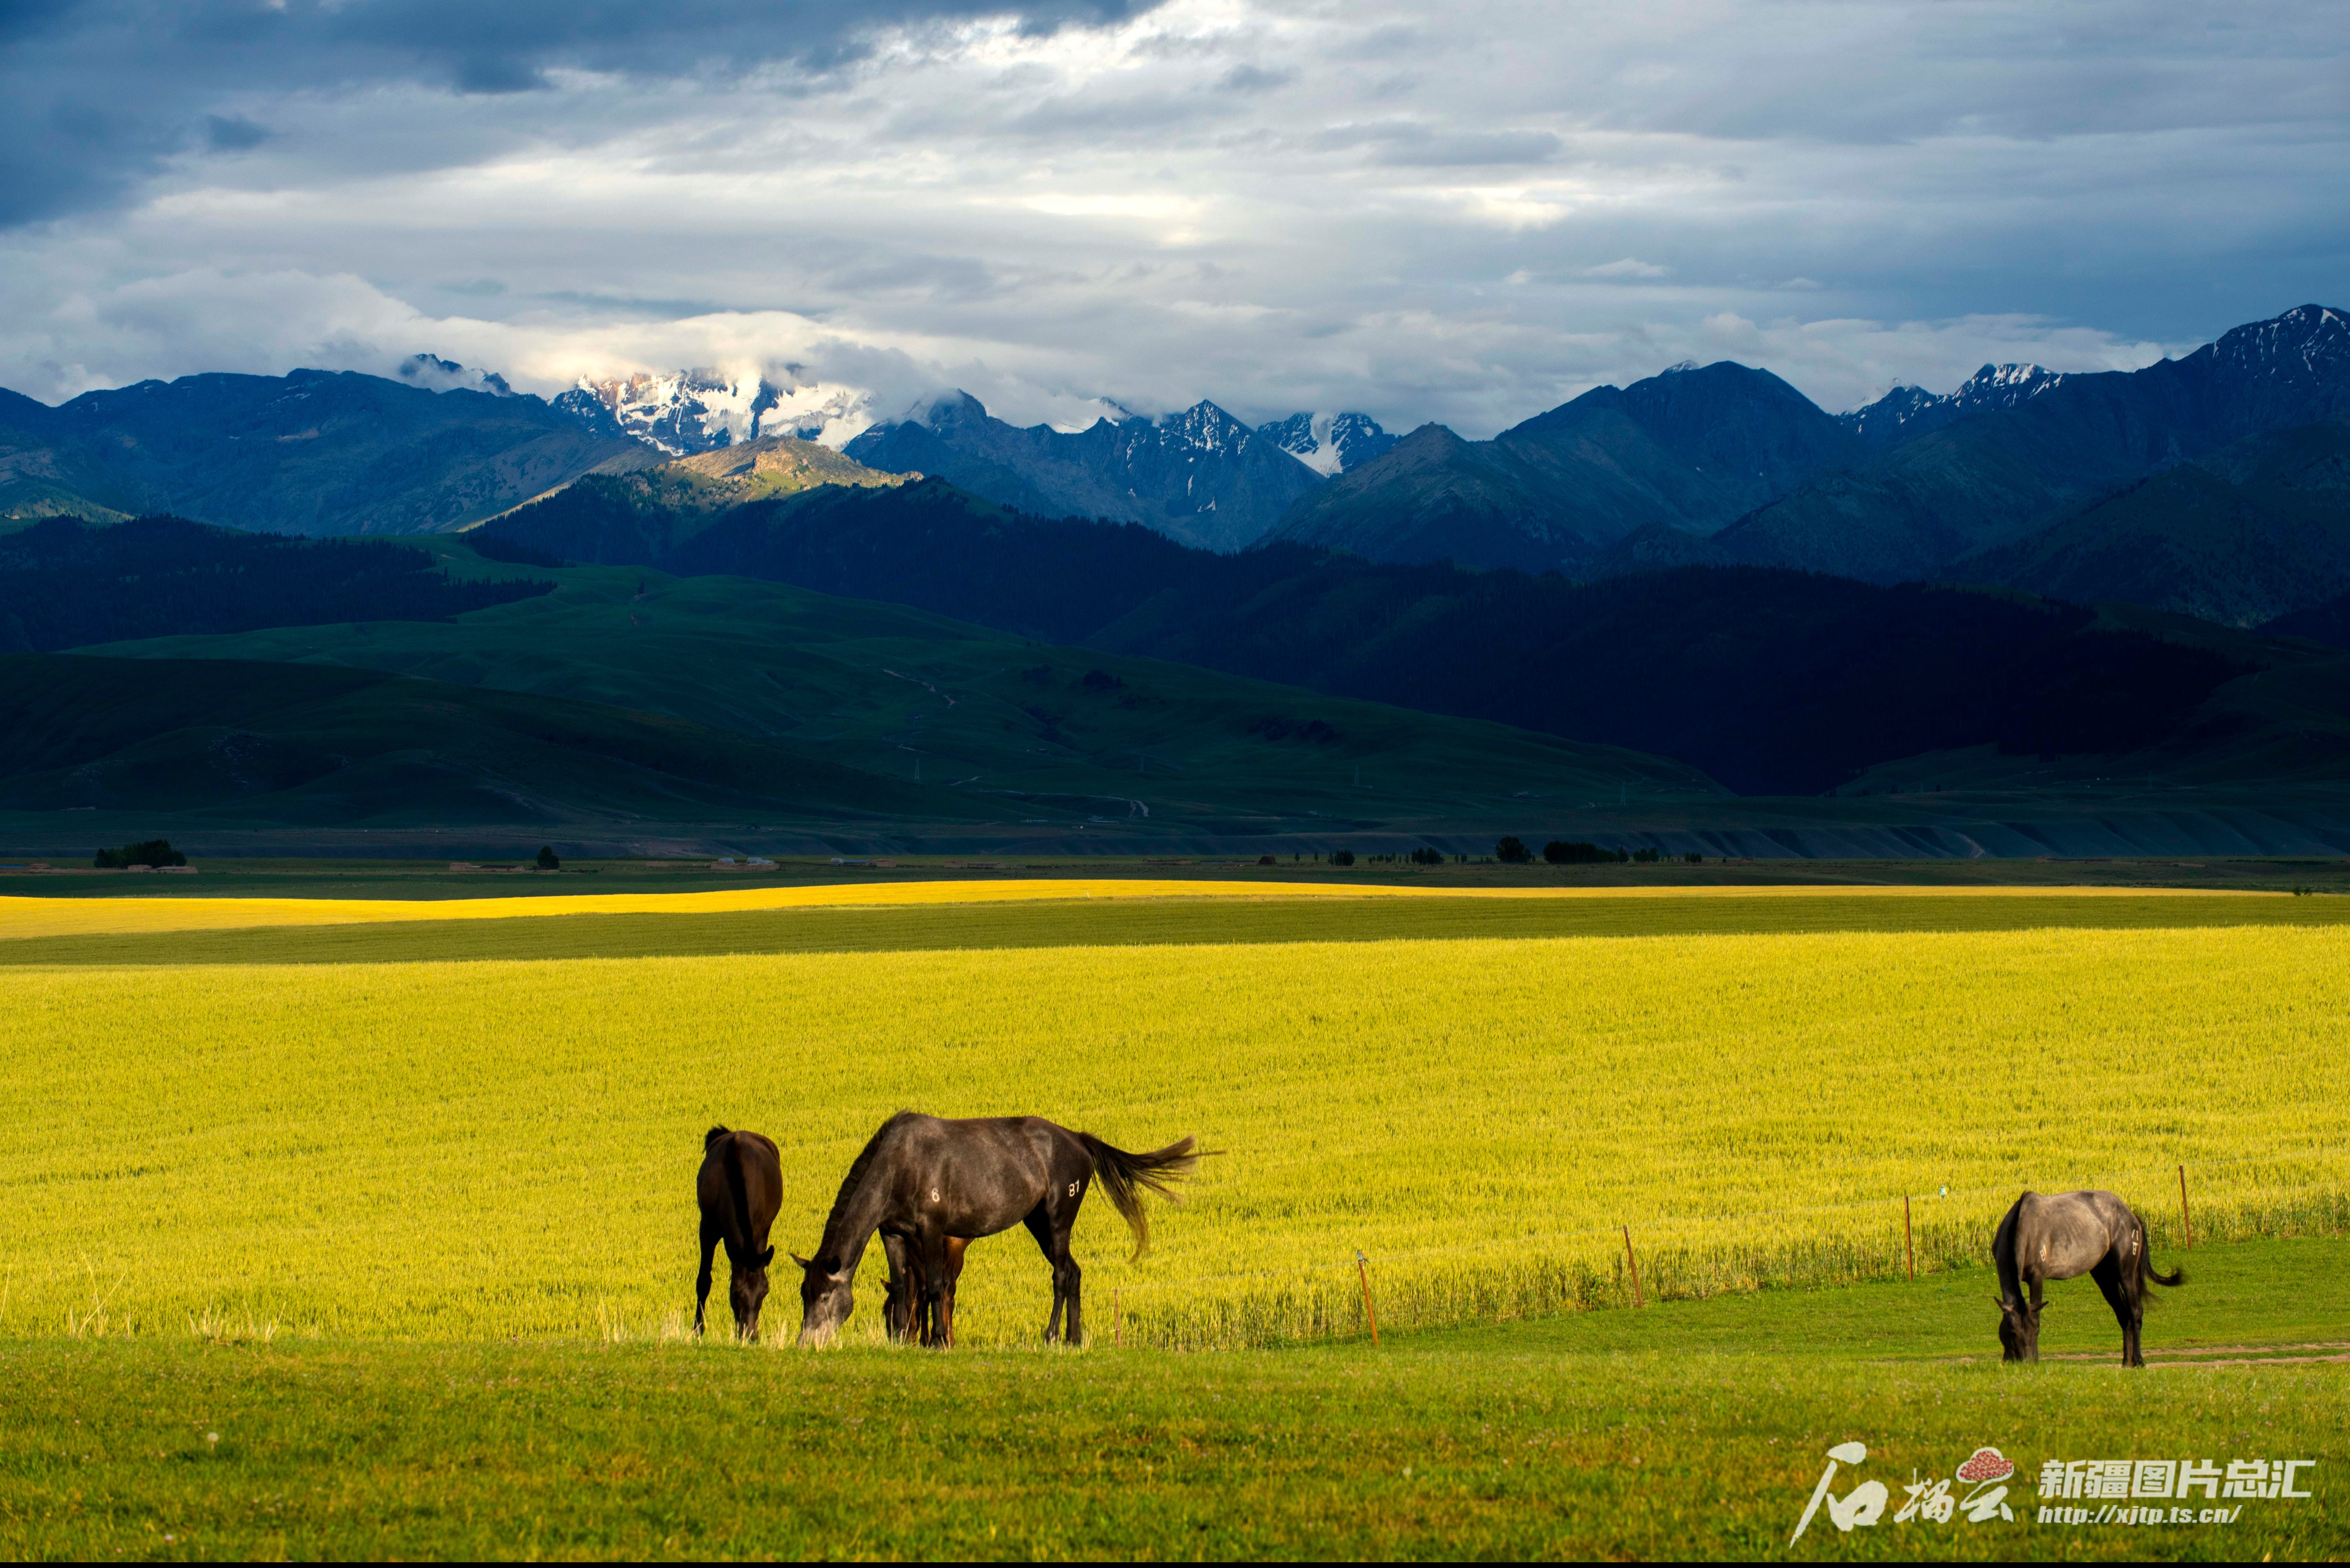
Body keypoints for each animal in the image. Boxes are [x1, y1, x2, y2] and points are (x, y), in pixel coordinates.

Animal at [691, 1128, 785, 1335]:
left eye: (765, 1292)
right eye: (735, 1293)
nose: (751, 1335)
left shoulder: (759, 1231)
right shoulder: (707, 1229)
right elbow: (704, 1281)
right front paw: (697, 1330)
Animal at [794, 1114, 1203, 1354]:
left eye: (826, 1295)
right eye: (805, 1295)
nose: (804, 1342)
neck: (900, 1163)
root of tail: (1077, 1139)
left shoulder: (932, 1230)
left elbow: (935, 1287)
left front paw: (938, 1342)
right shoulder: (893, 1234)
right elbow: (901, 1288)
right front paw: (899, 1341)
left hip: (1057, 1219)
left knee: (1061, 1274)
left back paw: (1051, 1336)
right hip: (1038, 1223)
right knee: (1074, 1272)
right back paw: (1073, 1339)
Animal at [1993, 1194, 2190, 1363]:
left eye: (2036, 1331)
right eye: (2012, 1332)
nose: (2026, 1362)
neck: (2023, 1227)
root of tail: (2131, 1215)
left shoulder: (2037, 1277)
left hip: (2126, 1273)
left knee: (2135, 1311)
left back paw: (2138, 1361)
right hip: (2104, 1276)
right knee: (2123, 1314)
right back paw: (2126, 1363)